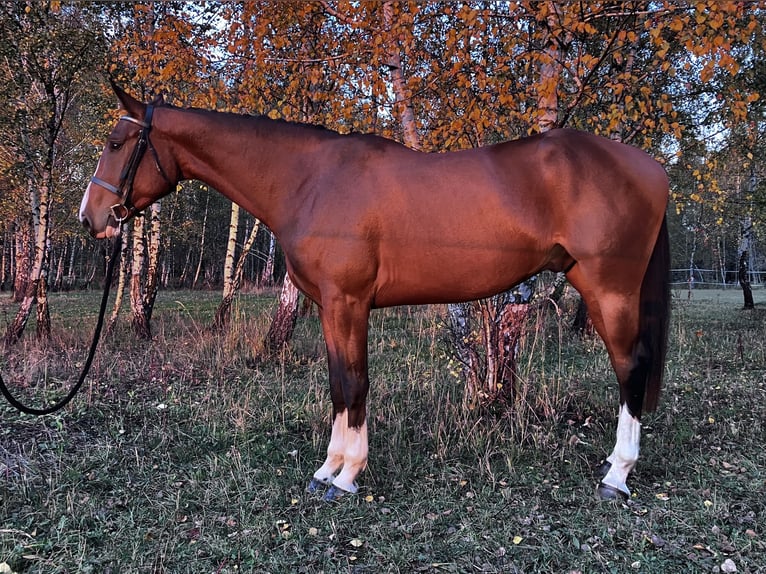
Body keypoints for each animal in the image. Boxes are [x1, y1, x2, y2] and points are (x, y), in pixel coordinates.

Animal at [79, 83, 670, 501]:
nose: (91, 218)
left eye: (116, 144)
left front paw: (348, 475)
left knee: (630, 368)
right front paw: (328, 469)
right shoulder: (329, 307)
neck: (309, 180)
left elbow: (354, 382)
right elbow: (339, 385)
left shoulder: (349, 302)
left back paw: (617, 475)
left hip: (610, 291)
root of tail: (651, 166)